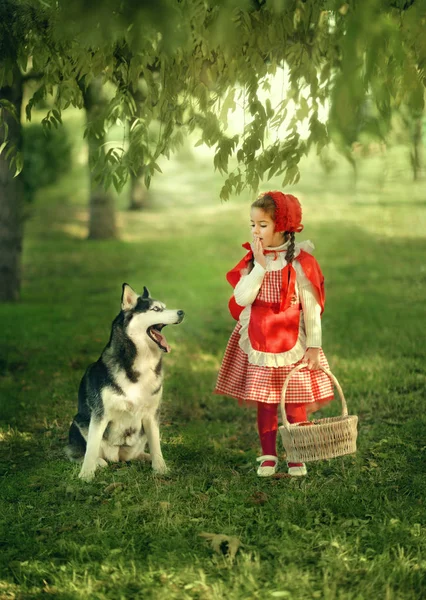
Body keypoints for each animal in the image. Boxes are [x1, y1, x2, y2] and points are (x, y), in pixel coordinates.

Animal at [65, 282, 184, 482]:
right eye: (156, 309)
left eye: (165, 307)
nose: (182, 312)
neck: (140, 363)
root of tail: (118, 457)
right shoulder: (100, 414)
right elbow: (90, 449)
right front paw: (86, 474)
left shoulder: (151, 415)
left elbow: (156, 444)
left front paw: (161, 468)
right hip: (80, 421)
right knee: (82, 453)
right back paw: (98, 462)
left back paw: (145, 457)